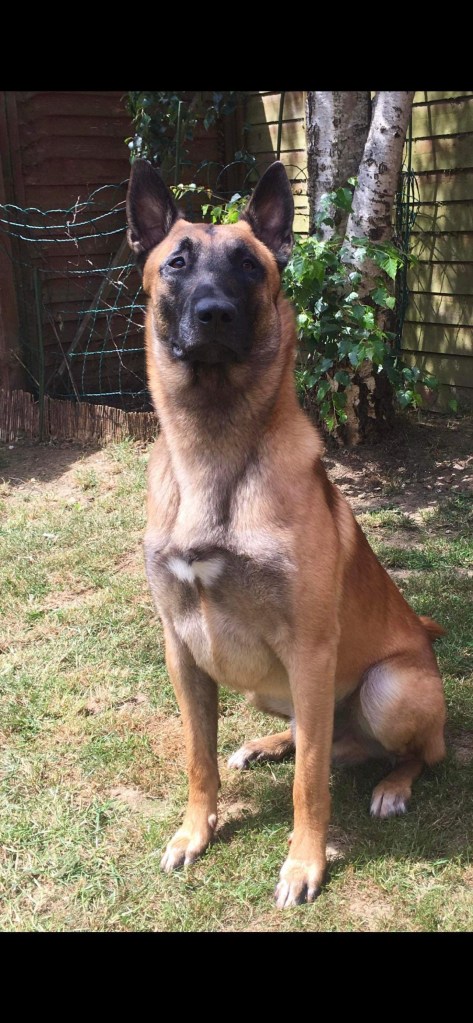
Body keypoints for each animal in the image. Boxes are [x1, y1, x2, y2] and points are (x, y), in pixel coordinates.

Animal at [126, 159, 446, 908]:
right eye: (177, 262)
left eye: (249, 266)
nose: (214, 314)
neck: (215, 448)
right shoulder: (182, 650)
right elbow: (199, 758)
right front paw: (196, 831)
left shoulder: (309, 648)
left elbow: (310, 788)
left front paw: (304, 864)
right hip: (267, 687)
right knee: (314, 737)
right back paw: (266, 746)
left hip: (387, 688)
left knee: (407, 752)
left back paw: (392, 785)